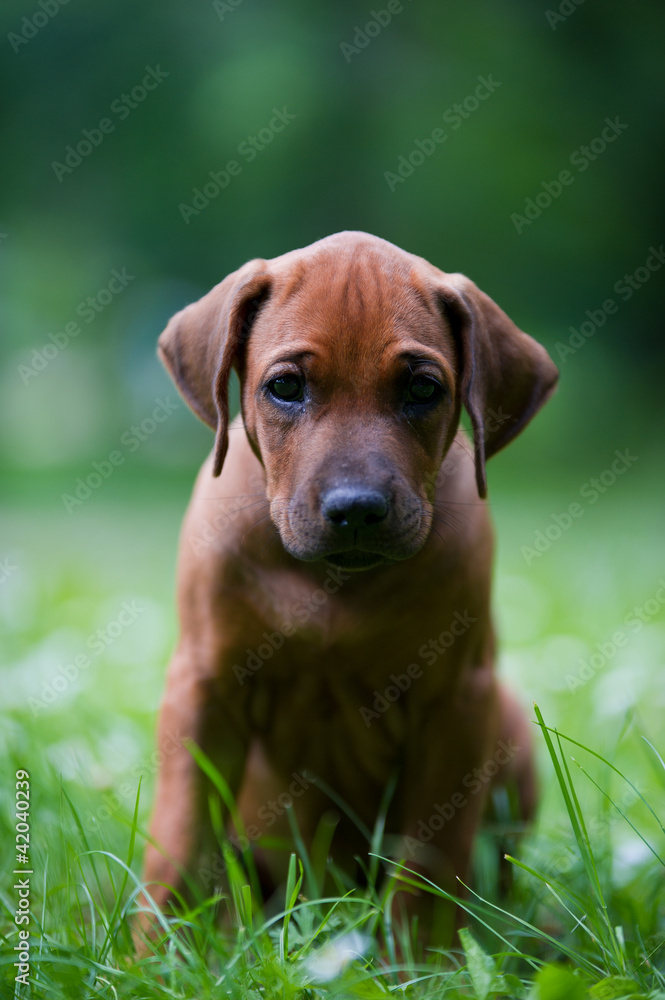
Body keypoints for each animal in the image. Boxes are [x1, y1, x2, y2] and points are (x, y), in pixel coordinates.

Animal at [143, 230, 556, 940]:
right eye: (285, 386)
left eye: (422, 388)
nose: (357, 508)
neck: (331, 585)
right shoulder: (204, 687)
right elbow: (181, 836)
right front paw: (158, 951)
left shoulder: (454, 702)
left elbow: (428, 862)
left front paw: (418, 956)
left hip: (507, 723)